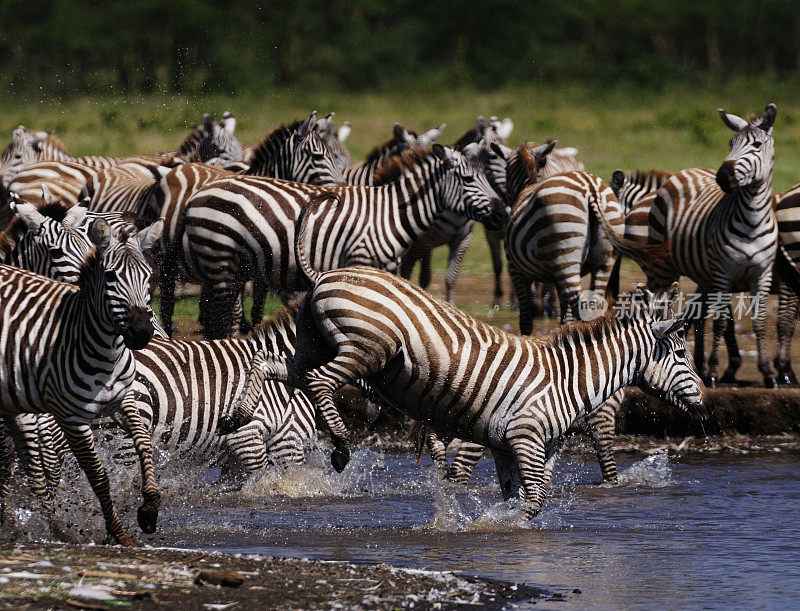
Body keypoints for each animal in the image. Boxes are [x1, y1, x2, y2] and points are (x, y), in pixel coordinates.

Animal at [0, 218, 163, 548]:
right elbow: (98, 475)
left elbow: (144, 443)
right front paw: (118, 532)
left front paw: (149, 511)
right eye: (111, 276)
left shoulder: (122, 399)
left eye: (148, 276)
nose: (141, 333)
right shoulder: (71, 417)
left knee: (32, 471)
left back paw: (53, 530)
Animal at [170, 143, 504, 340]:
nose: (502, 211)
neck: (390, 213)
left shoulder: (386, 269)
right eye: (469, 180)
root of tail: (196, 197)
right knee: (218, 318)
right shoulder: (360, 259)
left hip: (228, 264)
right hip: (220, 259)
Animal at [222, 212, 704, 516]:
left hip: (313, 344)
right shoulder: (525, 436)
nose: (702, 401)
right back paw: (340, 445)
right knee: (320, 382)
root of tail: (326, 273)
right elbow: (534, 501)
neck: (568, 378)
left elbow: (517, 497)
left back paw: (242, 412)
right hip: (367, 348)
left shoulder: (509, 446)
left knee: (272, 365)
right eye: (681, 355)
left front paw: (496, 528)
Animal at [644, 102, 776, 384]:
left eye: (757, 144)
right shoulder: (724, 273)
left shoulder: (762, 274)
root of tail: (687, 170)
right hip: (663, 267)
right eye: (730, 143)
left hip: (704, 274)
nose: (723, 176)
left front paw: (769, 373)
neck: (753, 219)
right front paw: (715, 372)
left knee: (696, 313)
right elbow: (721, 322)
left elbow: (759, 322)